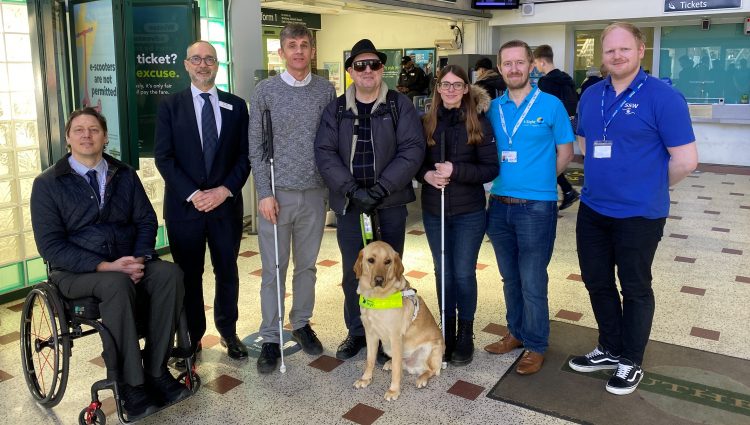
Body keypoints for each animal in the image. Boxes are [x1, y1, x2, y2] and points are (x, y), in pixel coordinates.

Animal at [354, 240, 444, 400]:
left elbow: (397, 370)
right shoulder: (370, 334)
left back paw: (421, 379)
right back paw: (390, 363)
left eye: (387, 261)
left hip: (432, 349)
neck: (377, 297)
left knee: (431, 370)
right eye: (371, 260)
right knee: (401, 362)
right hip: (388, 347)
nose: (379, 280)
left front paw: (393, 390)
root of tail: (413, 366)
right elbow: (370, 360)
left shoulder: (395, 337)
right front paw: (366, 379)